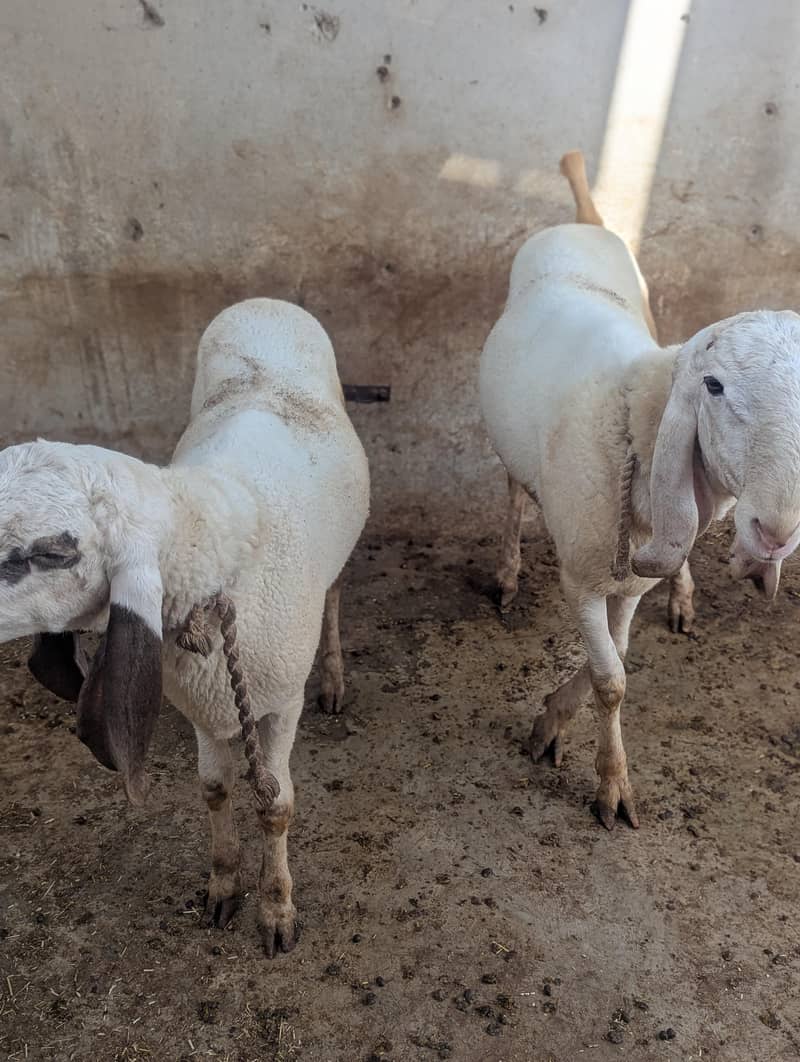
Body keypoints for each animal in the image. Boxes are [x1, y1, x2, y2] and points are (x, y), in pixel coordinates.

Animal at [0, 298, 370, 955]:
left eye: (52, 552)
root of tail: (264, 300)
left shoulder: (279, 703)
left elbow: (277, 806)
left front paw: (277, 909)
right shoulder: (203, 700)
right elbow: (214, 789)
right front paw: (222, 886)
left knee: (333, 596)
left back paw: (333, 677)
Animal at [479, 151, 800, 829]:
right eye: (712, 385)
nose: (776, 533)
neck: (634, 419)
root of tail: (584, 219)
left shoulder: (626, 581)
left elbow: (619, 656)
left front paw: (554, 720)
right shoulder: (580, 576)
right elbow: (612, 680)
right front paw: (610, 783)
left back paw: (682, 593)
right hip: (509, 445)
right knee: (515, 490)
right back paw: (509, 572)